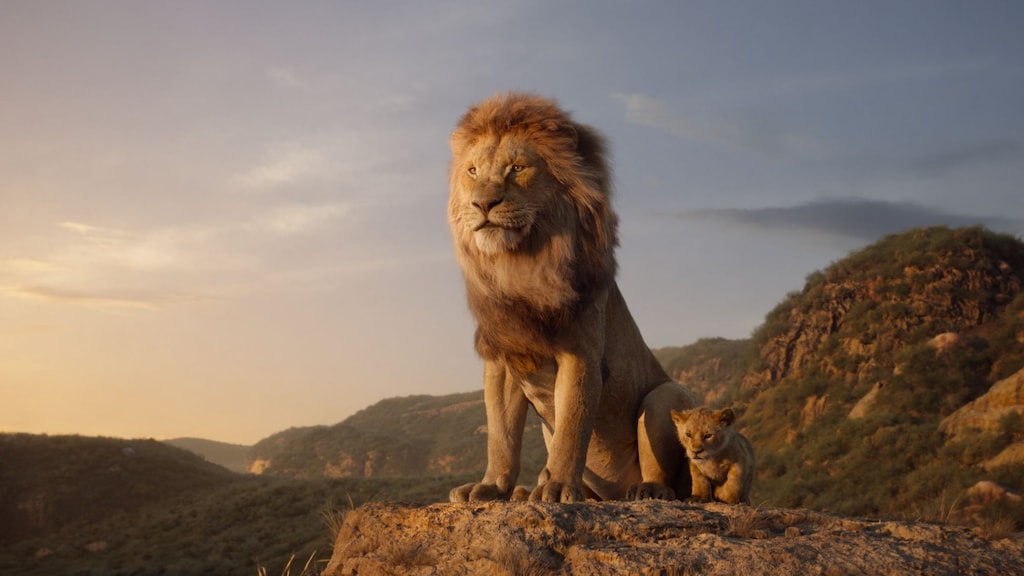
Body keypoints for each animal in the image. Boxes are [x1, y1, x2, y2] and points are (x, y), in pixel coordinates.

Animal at [446, 92, 697, 503]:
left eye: (517, 168)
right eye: (472, 171)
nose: (483, 204)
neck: (520, 266)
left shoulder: (580, 353)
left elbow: (572, 426)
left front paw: (559, 486)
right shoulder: (503, 359)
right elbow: (501, 435)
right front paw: (491, 486)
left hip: (666, 395)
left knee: (666, 475)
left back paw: (646, 490)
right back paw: (525, 492)